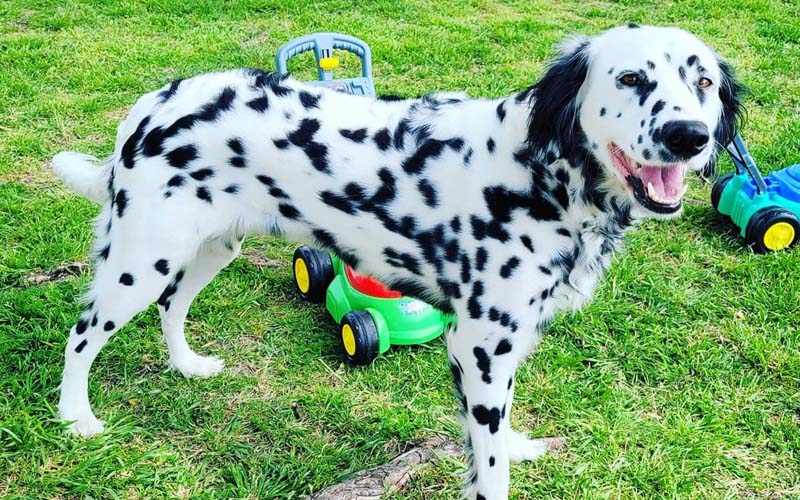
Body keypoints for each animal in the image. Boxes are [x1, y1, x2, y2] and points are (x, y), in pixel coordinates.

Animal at [54, 24, 744, 500]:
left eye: (703, 83)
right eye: (630, 80)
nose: (689, 136)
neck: (542, 173)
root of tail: (152, 104)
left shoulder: (502, 345)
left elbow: (499, 435)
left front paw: (517, 443)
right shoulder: (479, 347)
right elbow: (488, 465)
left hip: (209, 248)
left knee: (173, 306)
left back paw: (186, 365)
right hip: (141, 261)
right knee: (81, 335)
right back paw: (76, 417)